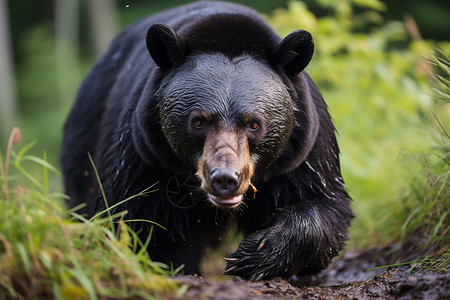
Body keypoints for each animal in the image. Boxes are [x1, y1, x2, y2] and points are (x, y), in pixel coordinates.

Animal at [61, 0, 354, 282]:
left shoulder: (301, 153)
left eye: (254, 123)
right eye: (198, 121)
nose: (225, 178)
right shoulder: (146, 156)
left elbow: (324, 203)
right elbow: (137, 217)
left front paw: (255, 254)